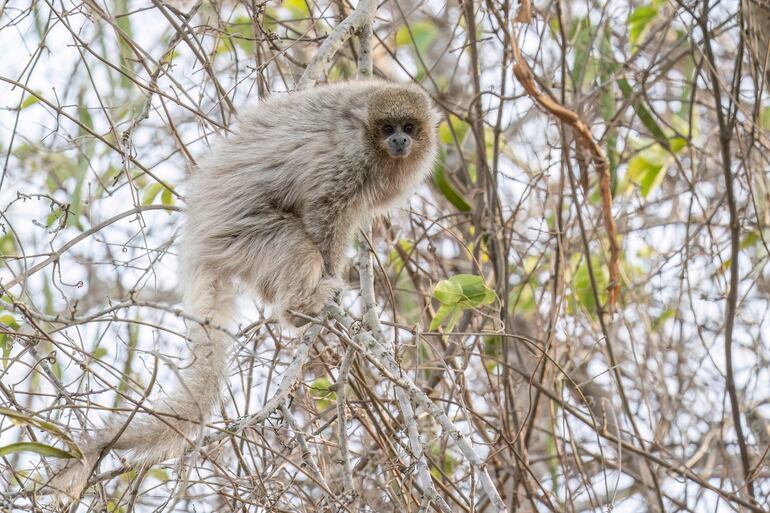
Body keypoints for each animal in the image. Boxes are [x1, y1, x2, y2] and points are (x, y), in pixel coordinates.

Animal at [49, 79, 438, 500]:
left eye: (409, 127)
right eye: (388, 129)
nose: (400, 140)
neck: (371, 138)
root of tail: (197, 241)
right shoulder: (348, 160)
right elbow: (324, 209)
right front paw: (330, 271)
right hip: (242, 237)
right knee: (296, 243)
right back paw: (300, 308)